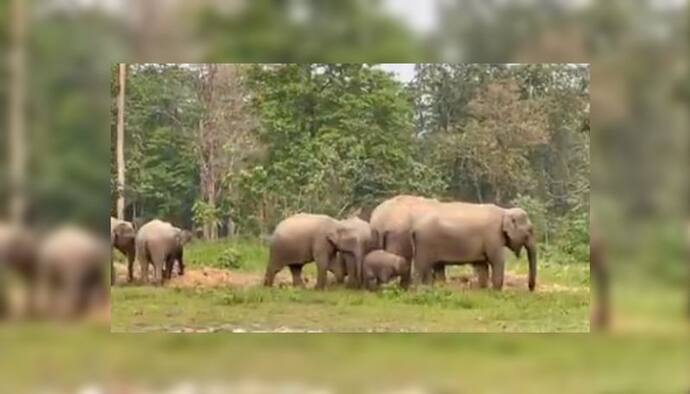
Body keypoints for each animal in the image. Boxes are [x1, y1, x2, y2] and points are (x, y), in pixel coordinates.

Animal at [408, 202, 536, 290]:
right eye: (529, 232)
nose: (530, 288)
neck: (505, 211)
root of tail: (415, 228)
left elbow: (482, 265)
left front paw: (483, 290)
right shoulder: (493, 236)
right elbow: (497, 261)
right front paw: (496, 292)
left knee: (437, 267)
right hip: (425, 244)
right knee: (421, 266)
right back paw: (417, 289)